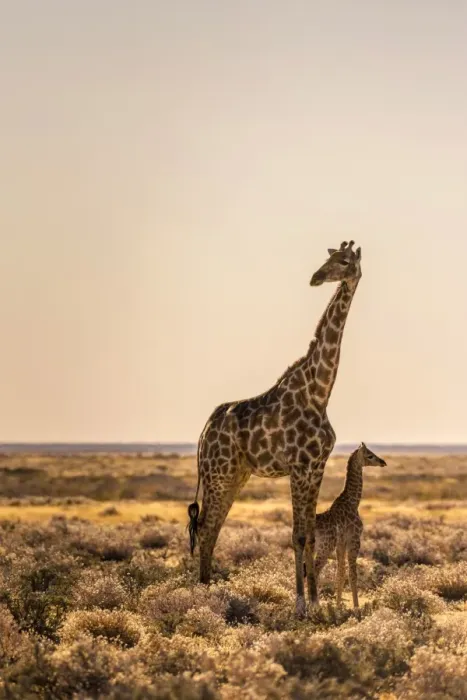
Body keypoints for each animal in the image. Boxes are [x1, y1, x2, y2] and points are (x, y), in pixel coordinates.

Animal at [188, 240, 363, 616]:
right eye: (328, 259)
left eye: (344, 261)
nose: (316, 278)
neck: (320, 391)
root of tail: (204, 433)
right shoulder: (298, 467)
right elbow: (298, 535)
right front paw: (300, 605)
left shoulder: (315, 467)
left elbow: (310, 535)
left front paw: (315, 603)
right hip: (218, 473)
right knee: (206, 529)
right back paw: (203, 597)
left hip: (236, 475)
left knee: (212, 528)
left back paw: (207, 590)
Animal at [312, 443, 386, 609]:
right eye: (370, 455)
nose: (383, 462)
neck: (353, 501)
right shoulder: (354, 539)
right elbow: (352, 574)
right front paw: (356, 606)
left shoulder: (341, 543)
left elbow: (340, 573)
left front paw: (338, 605)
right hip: (325, 547)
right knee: (314, 571)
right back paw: (314, 606)